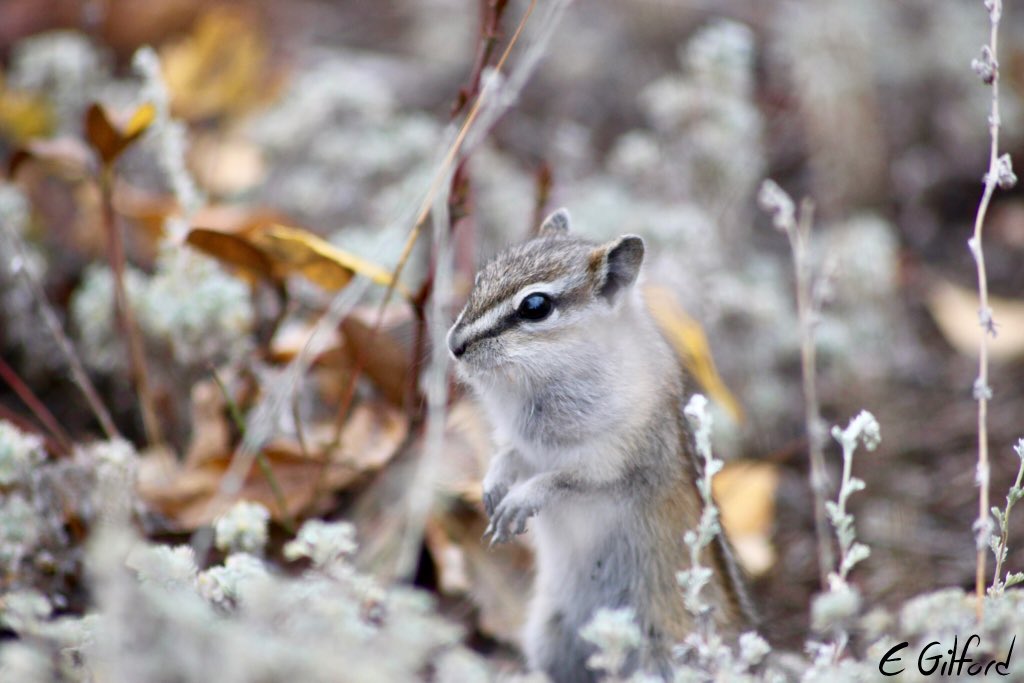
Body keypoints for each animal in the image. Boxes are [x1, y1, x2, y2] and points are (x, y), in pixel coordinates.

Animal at [446, 208, 754, 683]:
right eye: (481, 277)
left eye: (535, 306)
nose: (454, 345)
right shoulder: (521, 440)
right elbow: (508, 454)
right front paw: (493, 485)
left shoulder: (614, 455)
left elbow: (568, 478)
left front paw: (520, 499)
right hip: (551, 635)